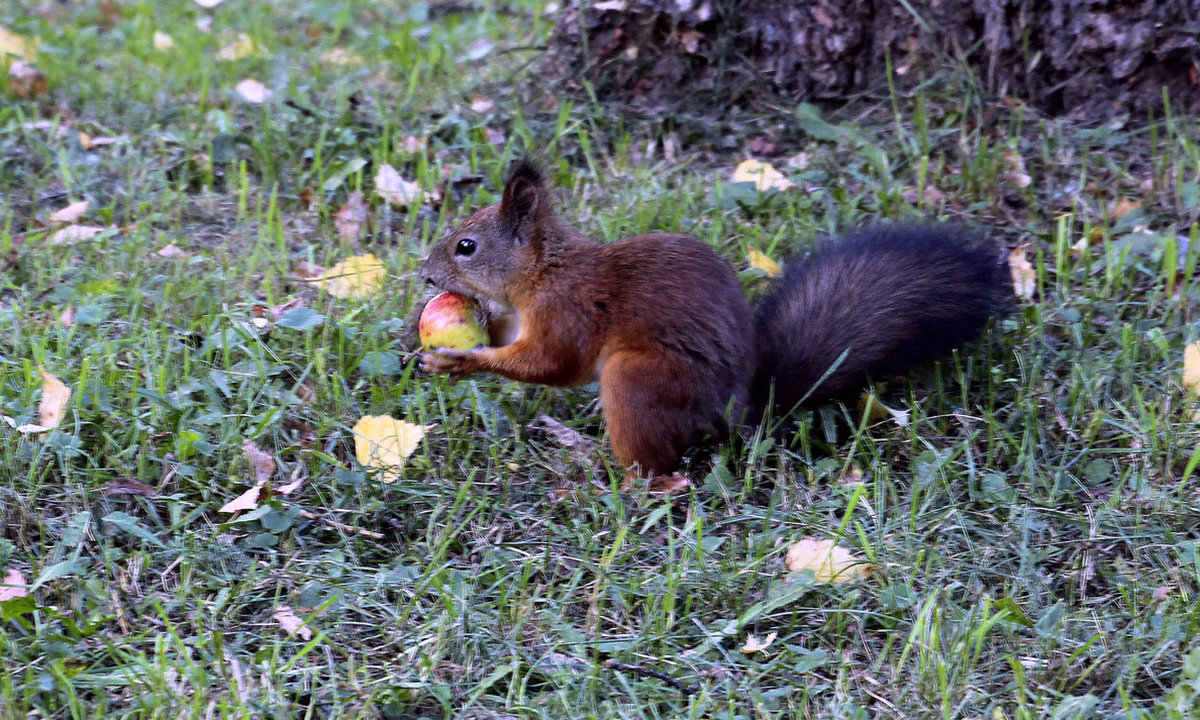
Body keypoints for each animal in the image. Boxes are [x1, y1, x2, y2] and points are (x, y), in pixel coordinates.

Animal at [422, 162, 1012, 477]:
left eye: (466, 247)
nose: (427, 276)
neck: (544, 273)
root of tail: (741, 410)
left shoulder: (569, 310)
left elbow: (553, 364)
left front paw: (463, 360)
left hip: (642, 379)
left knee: (655, 466)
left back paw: (604, 467)